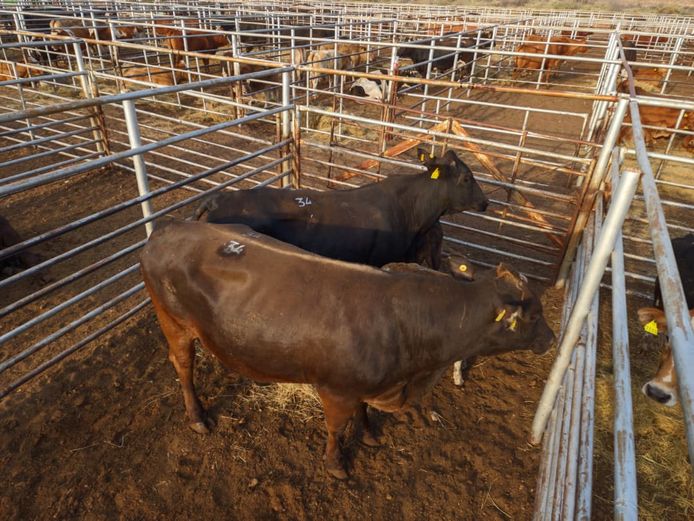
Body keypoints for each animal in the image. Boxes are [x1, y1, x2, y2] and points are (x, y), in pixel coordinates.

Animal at [140, 220, 555, 479]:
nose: (552, 339)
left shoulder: (367, 383)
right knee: (183, 366)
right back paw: (197, 416)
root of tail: (168, 228)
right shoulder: (336, 389)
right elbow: (336, 427)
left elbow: (363, 411)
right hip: (174, 322)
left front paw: (369, 435)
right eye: (534, 315)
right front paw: (336, 463)